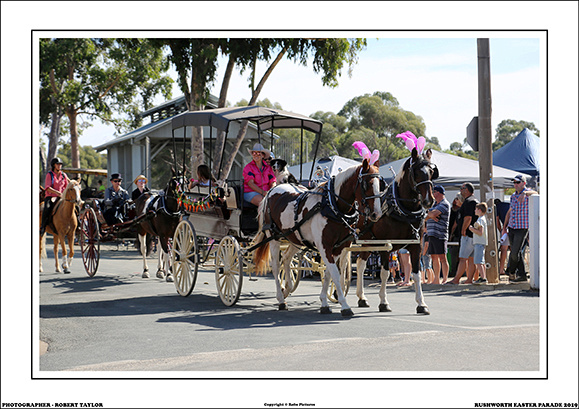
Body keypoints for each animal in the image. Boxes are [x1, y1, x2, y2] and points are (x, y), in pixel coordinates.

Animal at [255, 157, 386, 316]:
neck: (332, 206)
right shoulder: (324, 246)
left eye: (380, 185)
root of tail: (272, 190)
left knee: (286, 258)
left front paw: (324, 302)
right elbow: (334, 273)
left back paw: (287, 287)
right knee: (275, 266)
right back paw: (281, 299)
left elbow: (329, 273)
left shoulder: (339, 247)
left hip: (295, 239)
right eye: (366, 184)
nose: (376, 214)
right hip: (274, 237)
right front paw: (344, 305)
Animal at [354, 148, 440, 314]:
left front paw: (421, 304)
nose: (429, 201)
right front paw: (383, 302)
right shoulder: (385, 246)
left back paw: (361, 298)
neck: (401, 210)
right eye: (416, 172)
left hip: (368, 243)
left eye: (432, 172)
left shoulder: (416, 246)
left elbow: (416, 274)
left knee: (360, 264)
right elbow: (385, 273)